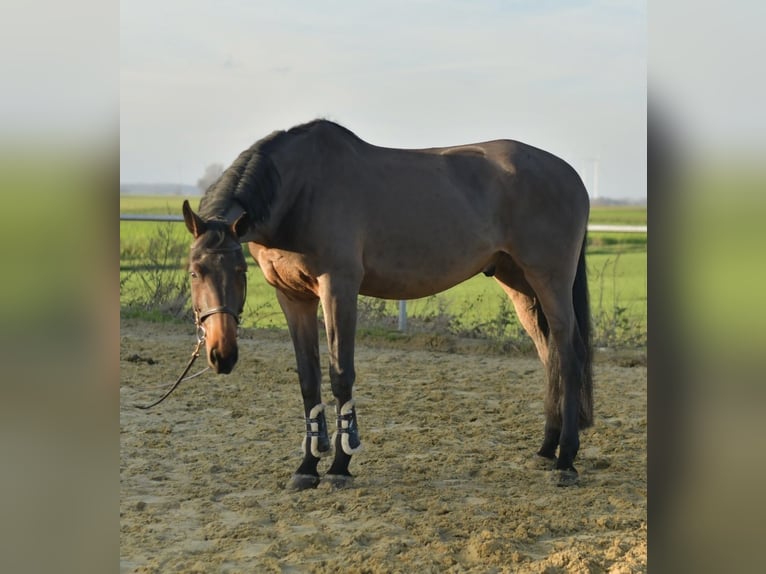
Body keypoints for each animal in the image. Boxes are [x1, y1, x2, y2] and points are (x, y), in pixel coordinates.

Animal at [181, 119, 592, 489]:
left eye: (238, 270)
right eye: (194, 272)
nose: (221, 354)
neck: (301, 192)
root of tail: (571, 176)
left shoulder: (338, 288)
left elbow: (340, 375)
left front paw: (340, 467)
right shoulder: (293, 297)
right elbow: (308, 380)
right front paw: (307, 468)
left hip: (550, 280)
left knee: (569, 354)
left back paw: (566, 461)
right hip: (519, 284)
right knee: (550, 355)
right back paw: (547, 449)